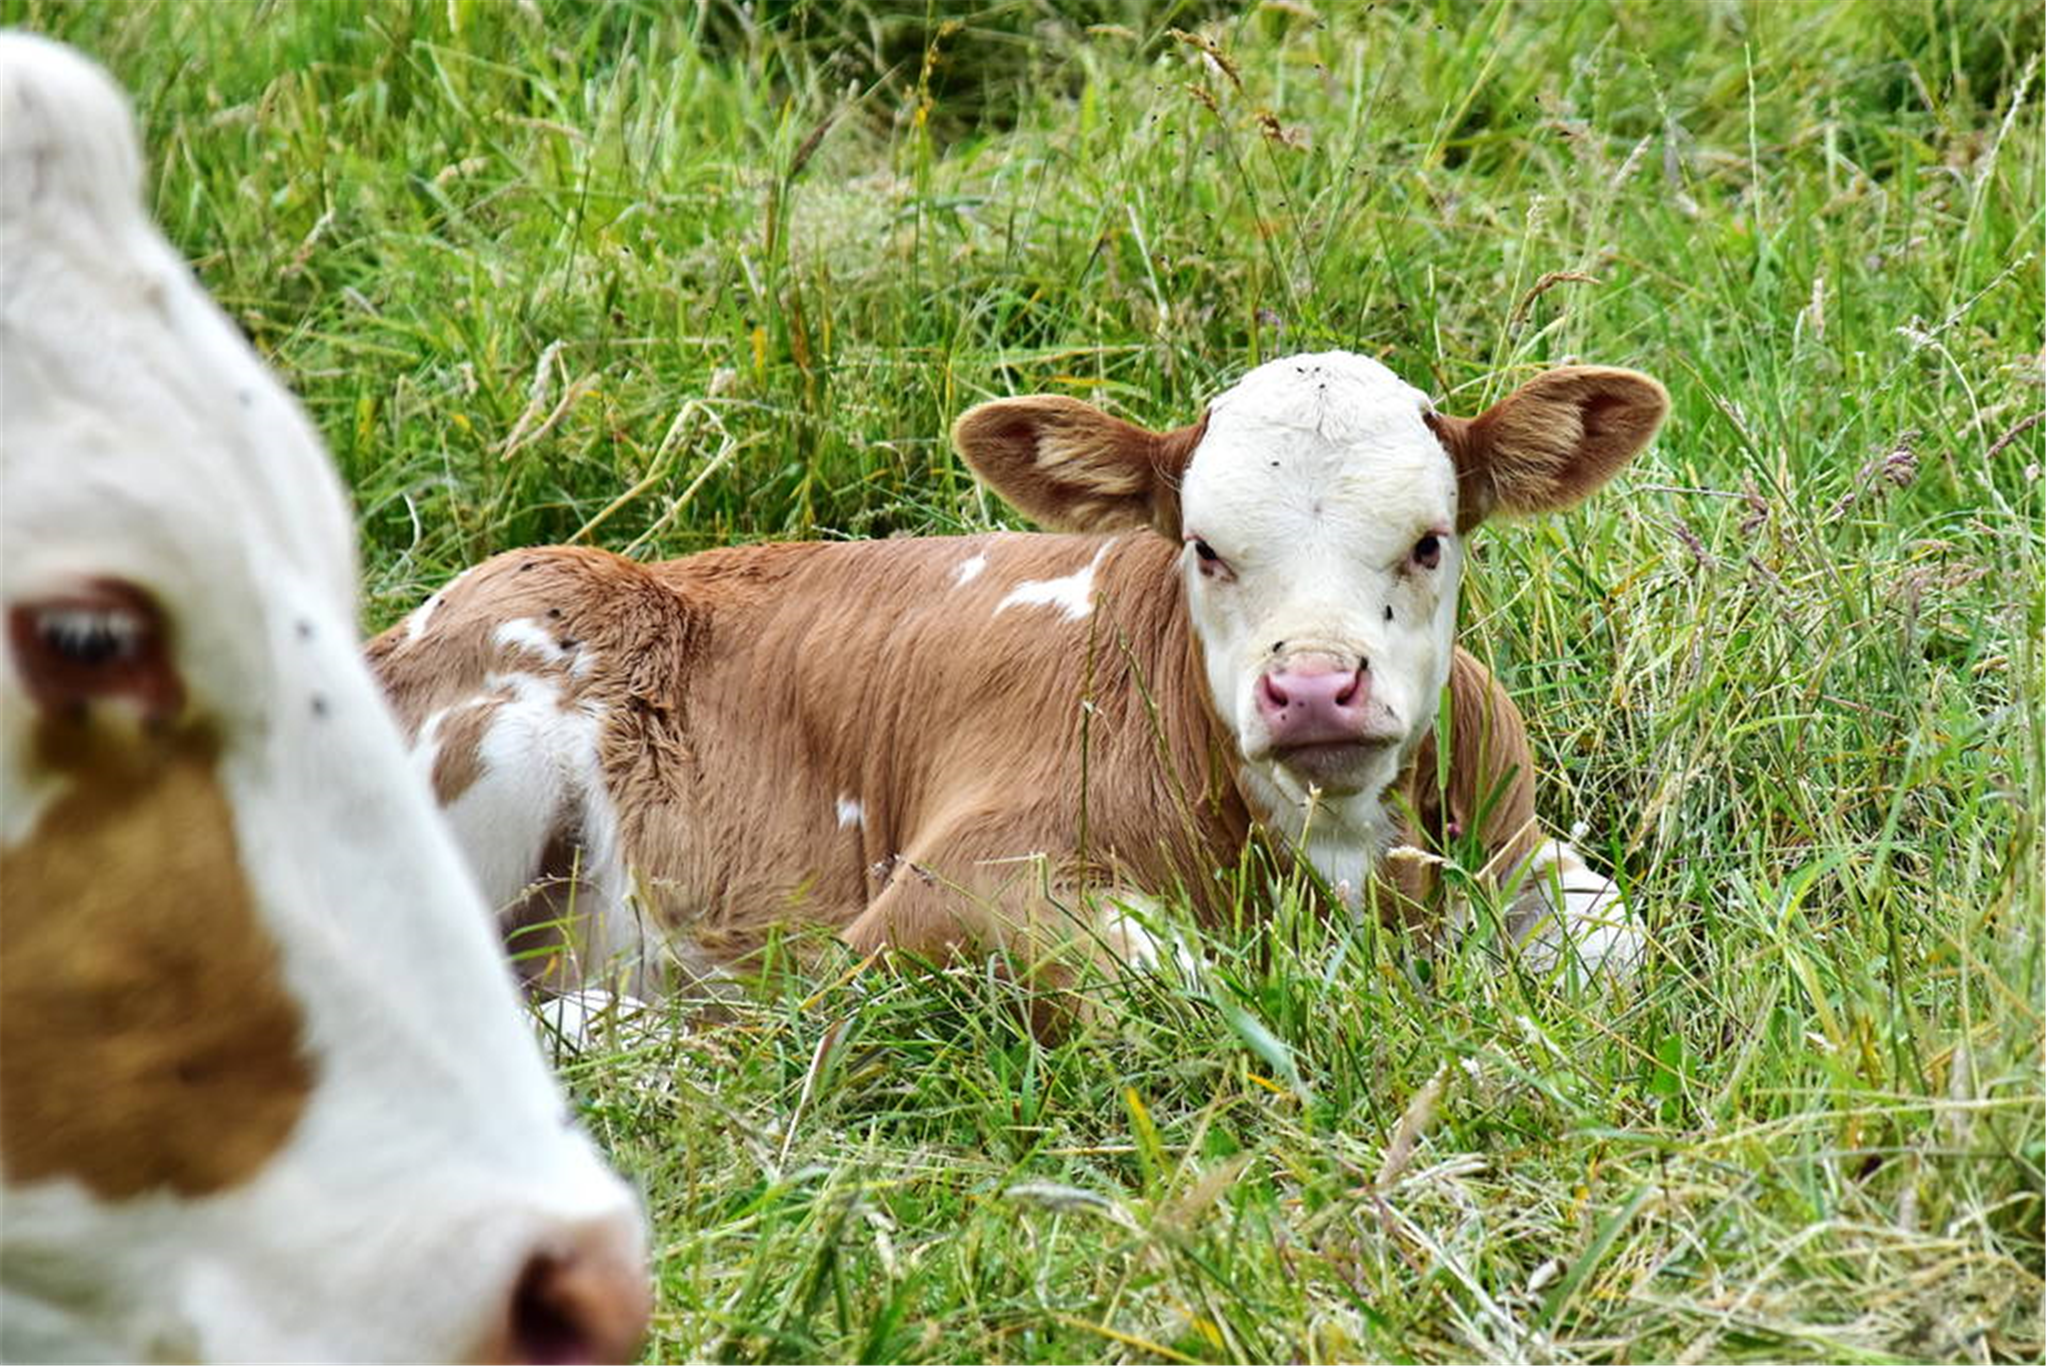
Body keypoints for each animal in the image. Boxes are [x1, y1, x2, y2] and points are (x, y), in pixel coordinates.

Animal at [372, 351, 1661, 1002]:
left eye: (1429, 542)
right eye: (1205, 548)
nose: (1311, 689)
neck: (1332, 852)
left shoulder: (1509, 829)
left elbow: (1615, 945)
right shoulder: (943, 888)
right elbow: (1177, 974)